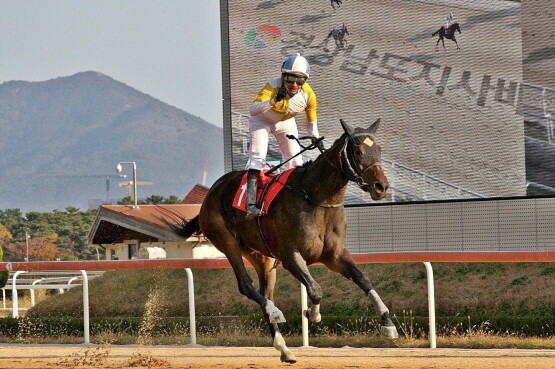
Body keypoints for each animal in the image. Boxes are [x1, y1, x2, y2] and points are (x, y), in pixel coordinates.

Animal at [172, 118, 398, 362]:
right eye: (357, 151)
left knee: (265, 293)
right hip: (226, 241)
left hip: (262, 257)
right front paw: (312, 313)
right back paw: (275, 312)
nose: (381, 187)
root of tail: (210, 194)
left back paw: (284, 347)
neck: (316, 198)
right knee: (246, 285)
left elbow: (363, 279)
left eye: (378, 149)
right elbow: (315, 289)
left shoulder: (335, 256)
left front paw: (387, 323)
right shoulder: (291, 256)